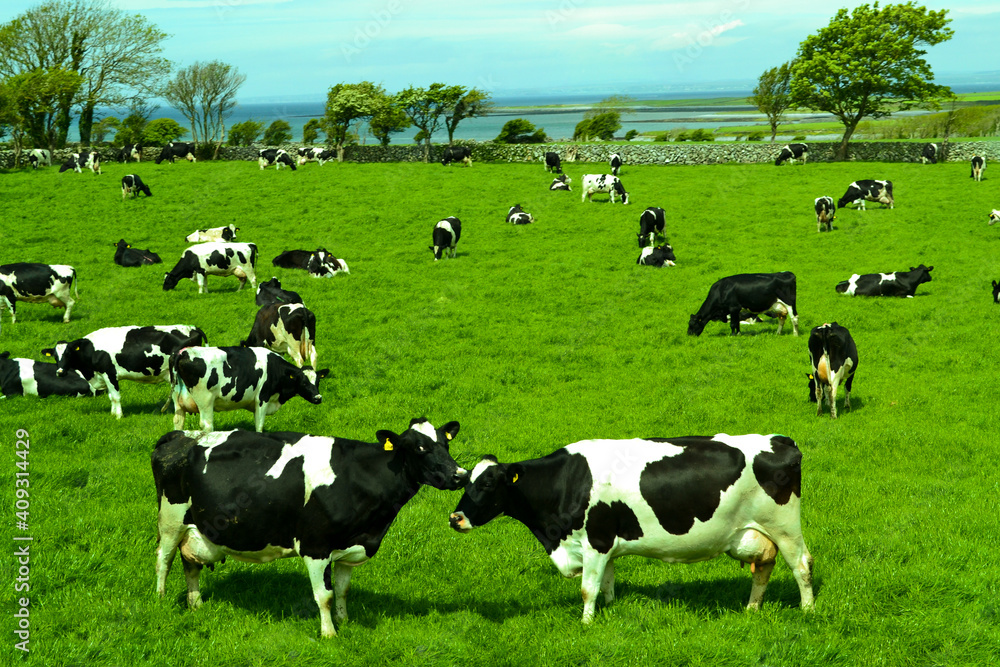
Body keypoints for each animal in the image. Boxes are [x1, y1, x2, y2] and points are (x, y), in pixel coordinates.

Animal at [44, 324, 207, 418]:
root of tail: (192, 328)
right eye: (55, 356)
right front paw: (113, 413)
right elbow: (111, 396)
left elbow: (116, 396)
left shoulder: (109, 373)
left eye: (69, 353)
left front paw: (118, 416)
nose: (60, 372)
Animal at [152, 418, 468, 638]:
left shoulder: (349, 547)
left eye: (446, 444)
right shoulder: (315, 547)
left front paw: (344, 621)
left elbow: (342, 590)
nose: (460, 475)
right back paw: (161, 599)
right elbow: (324, 596)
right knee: (163, 559)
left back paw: (195, 604)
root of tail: (181, 435)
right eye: (420, 447)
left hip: (197, 527)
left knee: (190, 563)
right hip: (171, 518)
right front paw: (329, 633)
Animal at [169, 346, 324, 432]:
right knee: (207, 425)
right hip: (205, 400)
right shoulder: (262, 398)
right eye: (304, 383)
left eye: (317, 382)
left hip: (177, 401)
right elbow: (259, 425)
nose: (318, 398)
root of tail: (183, 352)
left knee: (178, 422)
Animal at [449, 434, 814, 624]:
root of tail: (780, 440)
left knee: (801, 566)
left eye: (488, 483)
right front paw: (609, 610)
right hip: (757, 533)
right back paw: (752, 609)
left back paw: (808, 610)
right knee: (763, 568)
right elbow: (607, 582)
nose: (455, 518)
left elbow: (588, 589)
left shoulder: (595, 541)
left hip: (784, 527)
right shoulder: (606, 543)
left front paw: (586, 623)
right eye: (466, 481)